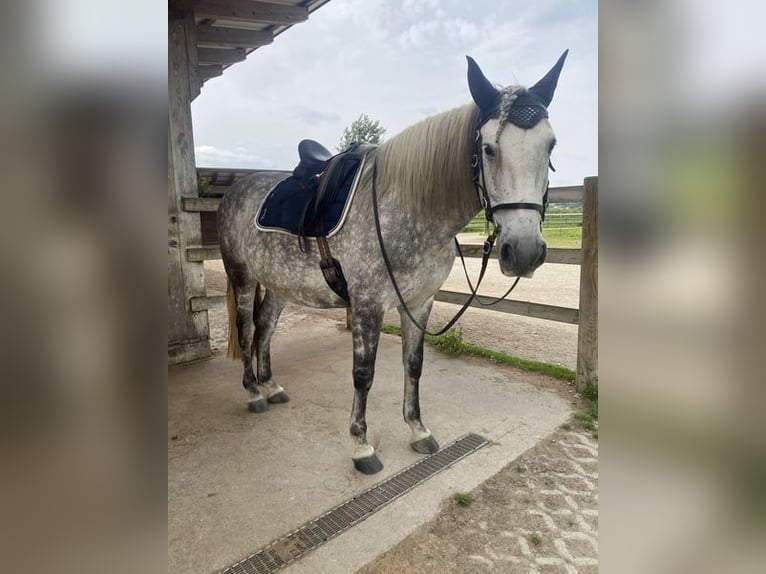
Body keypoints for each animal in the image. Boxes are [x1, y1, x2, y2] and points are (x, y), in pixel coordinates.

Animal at [219, 51, 568, 474]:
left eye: (550, 146)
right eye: (488, 148)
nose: (525, 251)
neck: (409, 208)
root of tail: (237, 187)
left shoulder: (419, 302)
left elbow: (413, 364)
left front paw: (418, 430)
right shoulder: (368, 306)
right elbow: (363, 374)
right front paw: (362, 446)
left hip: (280, 284)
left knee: (266, 328)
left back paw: (271, 387)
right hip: (241, 275)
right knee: (247, 330)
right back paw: (254, 393)